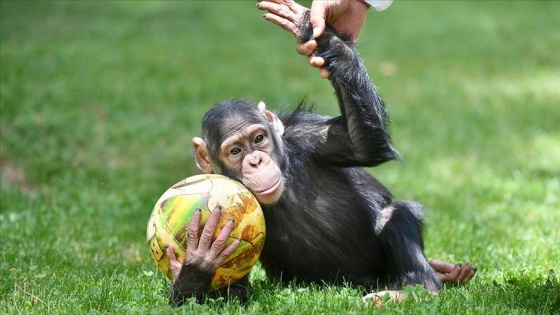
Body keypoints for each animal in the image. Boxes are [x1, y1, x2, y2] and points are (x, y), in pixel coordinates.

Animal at [165, 0, 472, 306]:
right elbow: (232, 295)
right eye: (236, 151)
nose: (255, 160)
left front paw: (313, 30)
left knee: (395, 215)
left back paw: (419, 286)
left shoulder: (307, 135)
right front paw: (200, 260)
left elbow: (363, 146)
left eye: (259, 138)